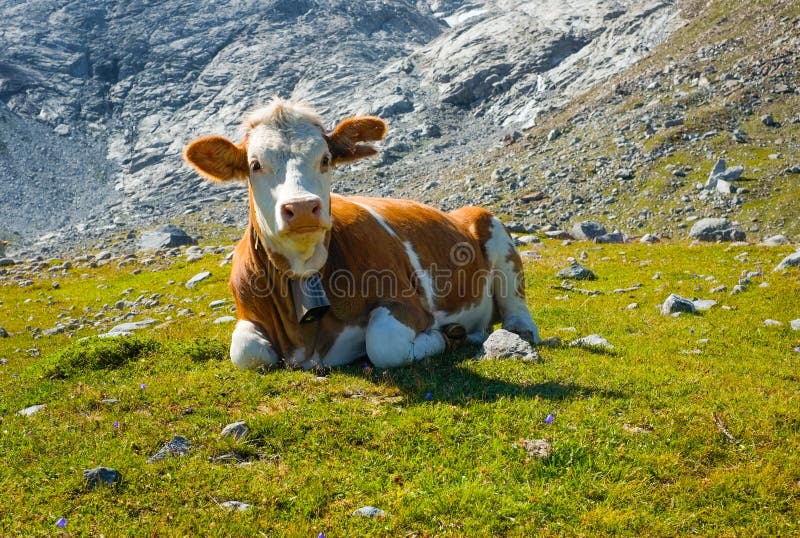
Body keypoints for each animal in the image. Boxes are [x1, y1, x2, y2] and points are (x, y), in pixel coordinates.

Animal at [184, 97, 540, 368]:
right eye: (255, 164)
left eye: (325, 159)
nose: (302, 207)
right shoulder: (247, 312)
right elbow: (246, 351)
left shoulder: (409, 304)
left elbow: (384, 343)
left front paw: (445, 336)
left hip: (492, 228)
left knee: (516, 309)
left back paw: (512, 332)